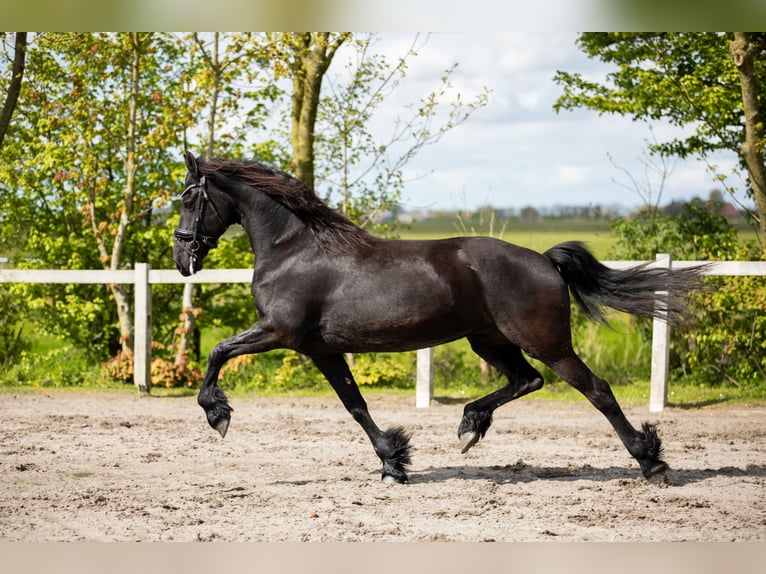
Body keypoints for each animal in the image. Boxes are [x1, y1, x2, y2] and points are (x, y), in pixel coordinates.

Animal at [174, 154, 708, 486]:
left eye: (187, 198)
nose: (182, 258)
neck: (294, 249)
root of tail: (543, 259)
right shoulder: (320, 348)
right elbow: (355, 406)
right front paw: (394, 462)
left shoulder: (279, 332)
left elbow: (218, 351)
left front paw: (218, 415)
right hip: (488, 341)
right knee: (527, 380)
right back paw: (470, 424)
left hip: (546, 342)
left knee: (595, 390)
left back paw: (651, 462)